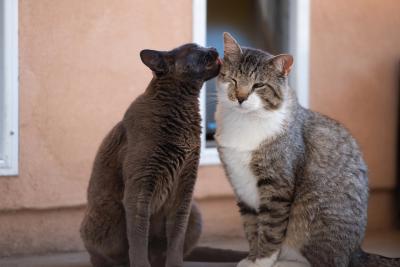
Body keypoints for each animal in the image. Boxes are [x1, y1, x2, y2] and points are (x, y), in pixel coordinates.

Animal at [79, 44, 220, 267]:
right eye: (194, 49)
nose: (213, 47)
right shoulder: (140, 187)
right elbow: (138, 236)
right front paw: (140, 263)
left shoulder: (185, 186)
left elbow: (177, 235)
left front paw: (174, 264)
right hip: (110, 213)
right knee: (103, 255)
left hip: (195, 212)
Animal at [216, 33, 400, 267]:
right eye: (233, 79)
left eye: (258, 85)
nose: (240, 97)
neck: (245, 122)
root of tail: (356, 251)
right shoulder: (240, 186)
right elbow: (251, 226)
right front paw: (251, 258)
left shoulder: (277, 185)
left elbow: (270, 228)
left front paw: (261, 261)